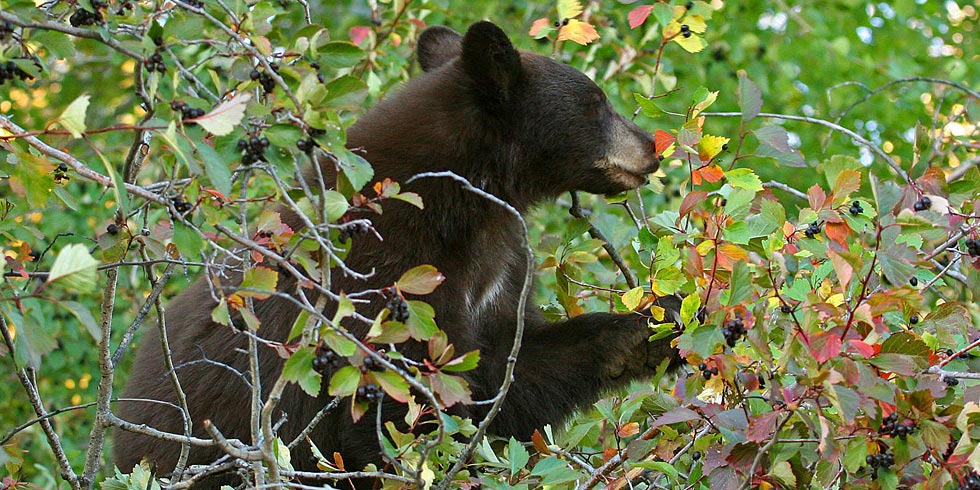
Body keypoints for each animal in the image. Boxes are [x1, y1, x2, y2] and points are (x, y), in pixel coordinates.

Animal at [115, 21, 680, 488]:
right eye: (597, 102)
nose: (652, 145)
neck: (465, 205)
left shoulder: (499, 273)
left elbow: (514, 372)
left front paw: (652, 326)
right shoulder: (387, 277)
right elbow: (396, 415)